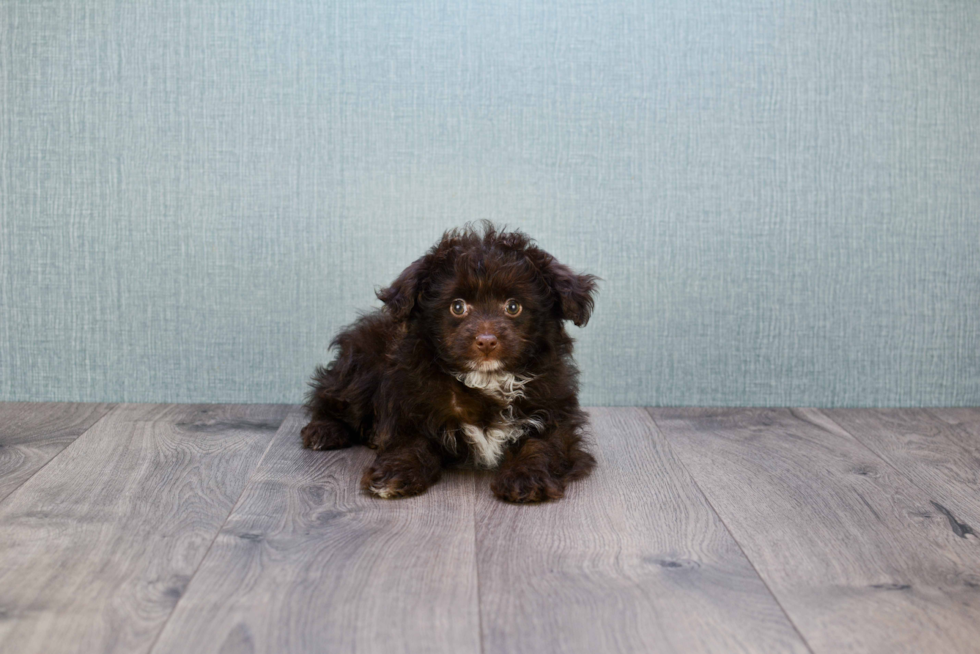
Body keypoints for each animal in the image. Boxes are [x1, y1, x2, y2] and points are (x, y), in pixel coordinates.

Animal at [302, 223, 596, 504]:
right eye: (458, 307)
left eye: (513, 307)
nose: (486, 341)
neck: (486, 380)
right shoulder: (410, 406)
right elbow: (410, 444)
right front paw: (395, 472)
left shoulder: (554, 414)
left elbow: (541, 446)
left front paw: (526, 477)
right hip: (361, 368)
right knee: (329, 397)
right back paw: (324, 431)